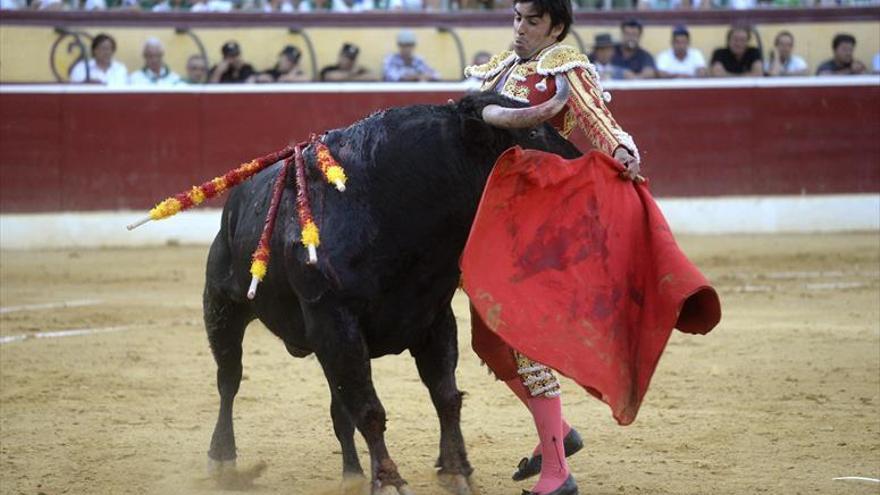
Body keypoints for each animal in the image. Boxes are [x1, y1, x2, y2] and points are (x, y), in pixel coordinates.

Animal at [203, 91, 580, 494]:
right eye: (535, 134)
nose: (585, 162)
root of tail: (234, 204)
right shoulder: (337, 325)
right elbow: (370, 410)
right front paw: (388, 480)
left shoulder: (434, 318)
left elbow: (445, 397)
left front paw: (456, 470)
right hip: (222, 307)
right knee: (229, 379)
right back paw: (222, 460)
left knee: (339, 409)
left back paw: (352, 474)